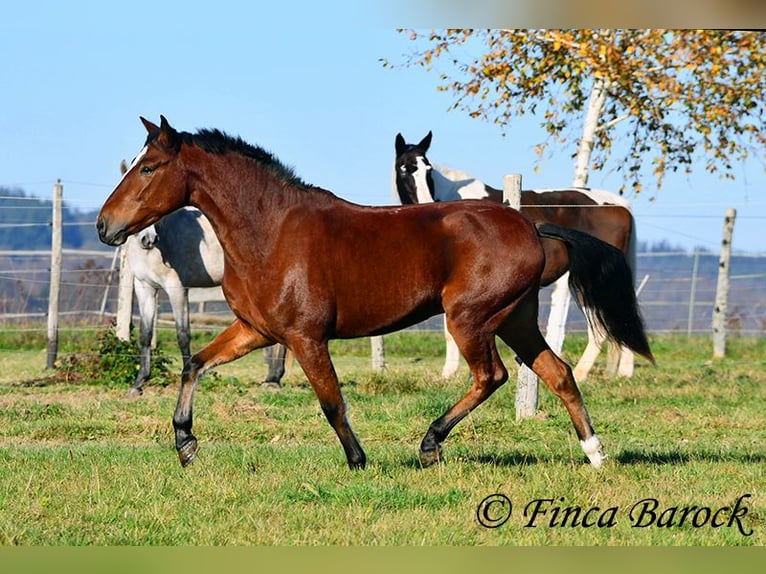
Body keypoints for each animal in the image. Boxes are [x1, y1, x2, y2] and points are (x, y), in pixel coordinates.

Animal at [392, 130, 640, 382]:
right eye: (404, 168)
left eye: (428, 169)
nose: (425, 201)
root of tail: (621, 205)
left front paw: (449, 373)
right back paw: (623, 372)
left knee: (600, 330)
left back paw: (581, 374)